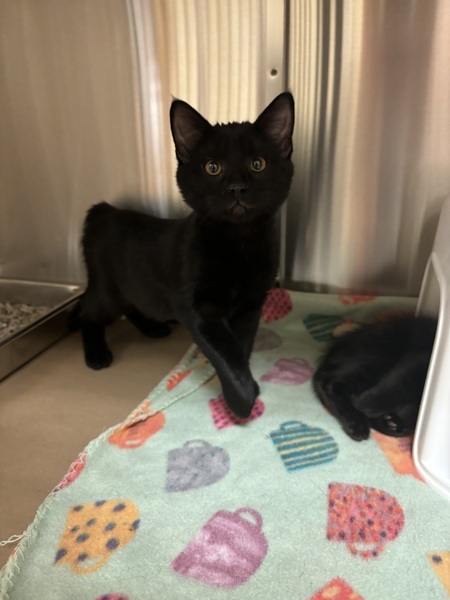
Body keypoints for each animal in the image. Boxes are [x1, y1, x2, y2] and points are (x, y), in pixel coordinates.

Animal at [70, 92, 296, 418]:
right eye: (212, 167)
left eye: (258, 164)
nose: (236, 187)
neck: (238, 243)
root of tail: (105, 211)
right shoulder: (196, 307)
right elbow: (226, 351)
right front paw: (241, 401)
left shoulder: (251, 305)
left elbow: (239, 347)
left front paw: (242, 386)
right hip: (108, 290)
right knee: (89, 310)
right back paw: (97, 353)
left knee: (132, 304)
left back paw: (152, 327)